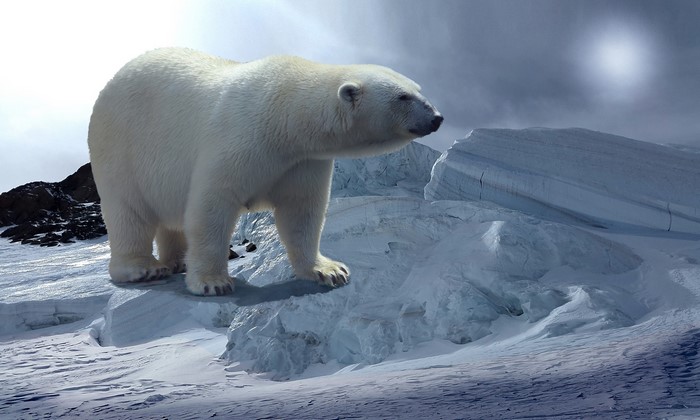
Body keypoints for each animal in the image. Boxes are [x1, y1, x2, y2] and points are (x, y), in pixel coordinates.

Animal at [87, 47, 442, 296]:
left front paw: (329, 271)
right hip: (121, 148)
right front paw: (213, 282)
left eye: (419, 89)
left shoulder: (302, 161)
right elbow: (212, 205)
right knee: (129, 212)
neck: (284, 115)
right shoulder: (240, 138)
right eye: (403, 96)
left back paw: (176, 261)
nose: (437, 117)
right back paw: (143, 268)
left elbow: (302, 211)